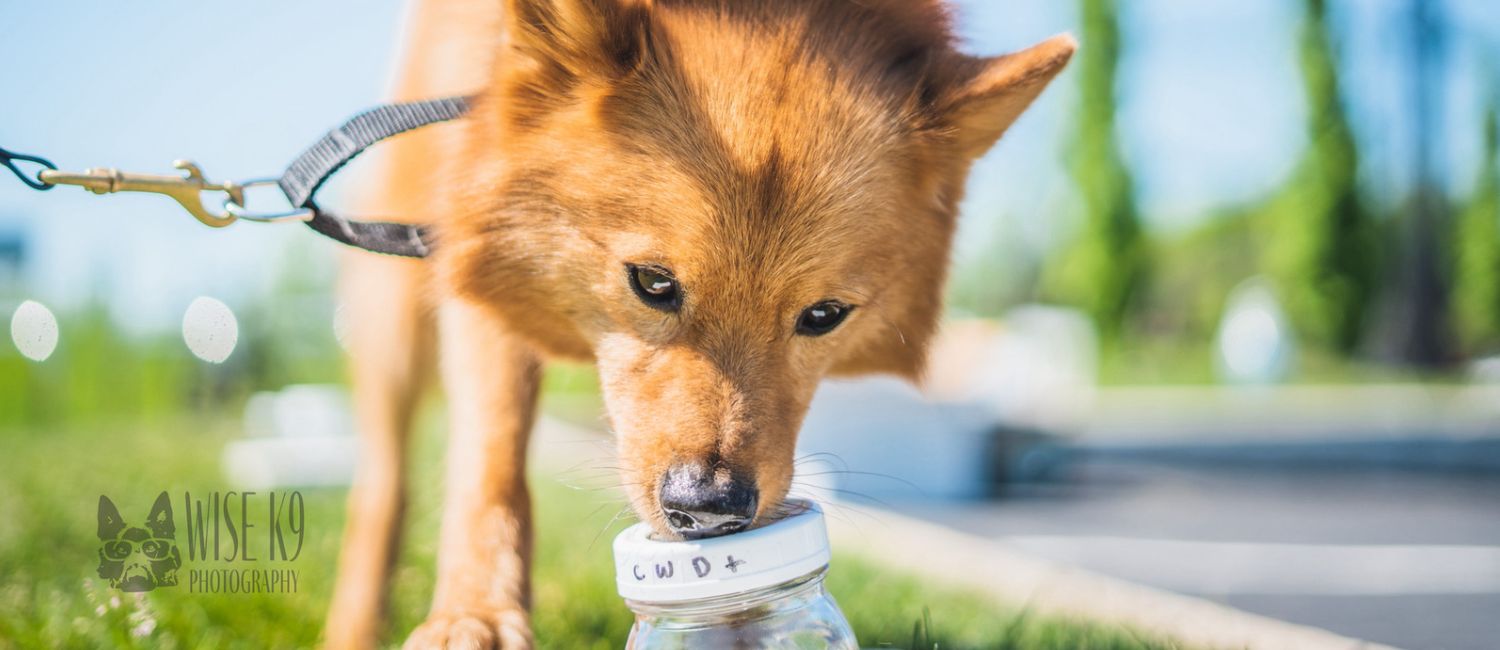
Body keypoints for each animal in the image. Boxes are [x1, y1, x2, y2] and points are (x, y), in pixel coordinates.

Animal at [328, 2, 1074, 645]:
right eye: (653, 283)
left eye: (824, 316)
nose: (711, 507)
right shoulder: (476, 255)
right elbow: (491, 455)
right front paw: (476, 617)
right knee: (384, 481)